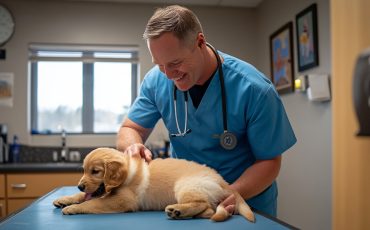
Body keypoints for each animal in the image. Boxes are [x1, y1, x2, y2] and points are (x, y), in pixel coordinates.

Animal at [52, 147, 254, 223]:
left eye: (95, 171)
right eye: (84, 170)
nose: (80, 186)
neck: (128, 173)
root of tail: (223, 181)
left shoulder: (123, 201)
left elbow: (93, 202)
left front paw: (72, 208)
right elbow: (85, 197)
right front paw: (65, 199)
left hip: (185, 185)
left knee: (205, 206)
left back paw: (177, 210)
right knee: (209, 210)